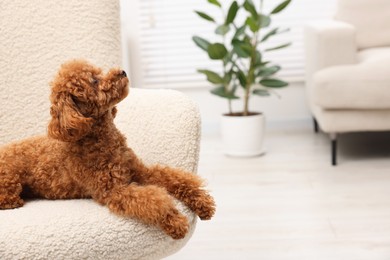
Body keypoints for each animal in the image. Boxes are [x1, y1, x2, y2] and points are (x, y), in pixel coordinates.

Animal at [0, 60, 215, 239]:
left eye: (99, 72)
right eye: (94, 81)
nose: (122, 71)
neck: (102, 140)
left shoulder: (139, 171)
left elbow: (174, 178)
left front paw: (202, 202)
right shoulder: (113, 190)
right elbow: (153, 200)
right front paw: (175, 222)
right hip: (10, 181)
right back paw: (15, 202)